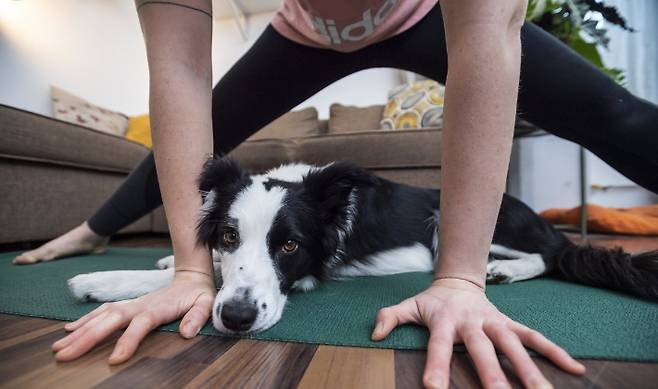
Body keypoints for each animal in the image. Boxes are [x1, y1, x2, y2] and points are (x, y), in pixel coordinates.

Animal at [66, 158, 656, 334]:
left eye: (290, 246)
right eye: (230, 235)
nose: (235, 320)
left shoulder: (309, 271)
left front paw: (99, 281)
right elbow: (210, 266)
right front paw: (168, 259)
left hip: (466, 222)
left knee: (551, 255)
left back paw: (502, 271)